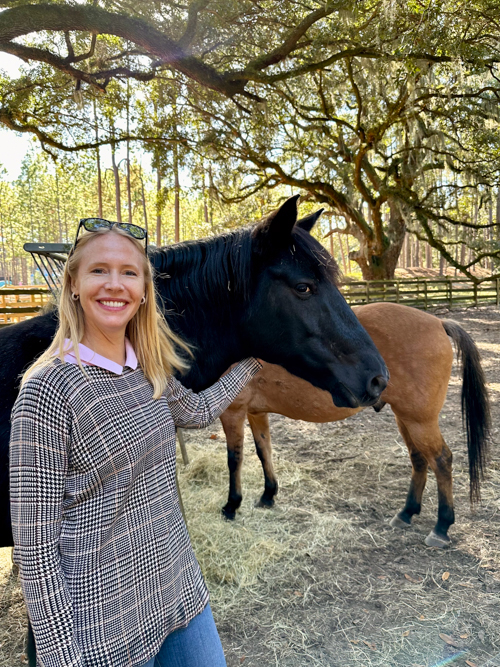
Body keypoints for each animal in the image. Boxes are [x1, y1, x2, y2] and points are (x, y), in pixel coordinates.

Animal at [219, 302, 488, 548]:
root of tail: (438, 323)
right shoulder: (255, 412)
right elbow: (264, 452)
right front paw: (268, 496)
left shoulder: (232, 412)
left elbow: (234, 460)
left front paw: (231, 506)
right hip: (405, 418)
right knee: (419, 459)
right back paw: (406, 513)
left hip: (420, 421)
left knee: (441, 460)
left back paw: (441, 527)